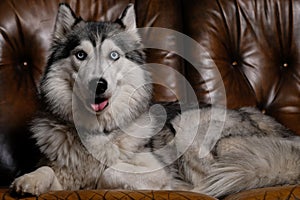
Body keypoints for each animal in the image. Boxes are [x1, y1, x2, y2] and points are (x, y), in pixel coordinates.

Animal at [10, 3, 300, 198]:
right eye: (81, 55)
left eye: (114, 55)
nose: (98, 85)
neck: (97, 131)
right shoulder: (65, 176)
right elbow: (47, 171)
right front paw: (29, 180)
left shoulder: (156, 169)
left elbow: (108, 172)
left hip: (189, 126)